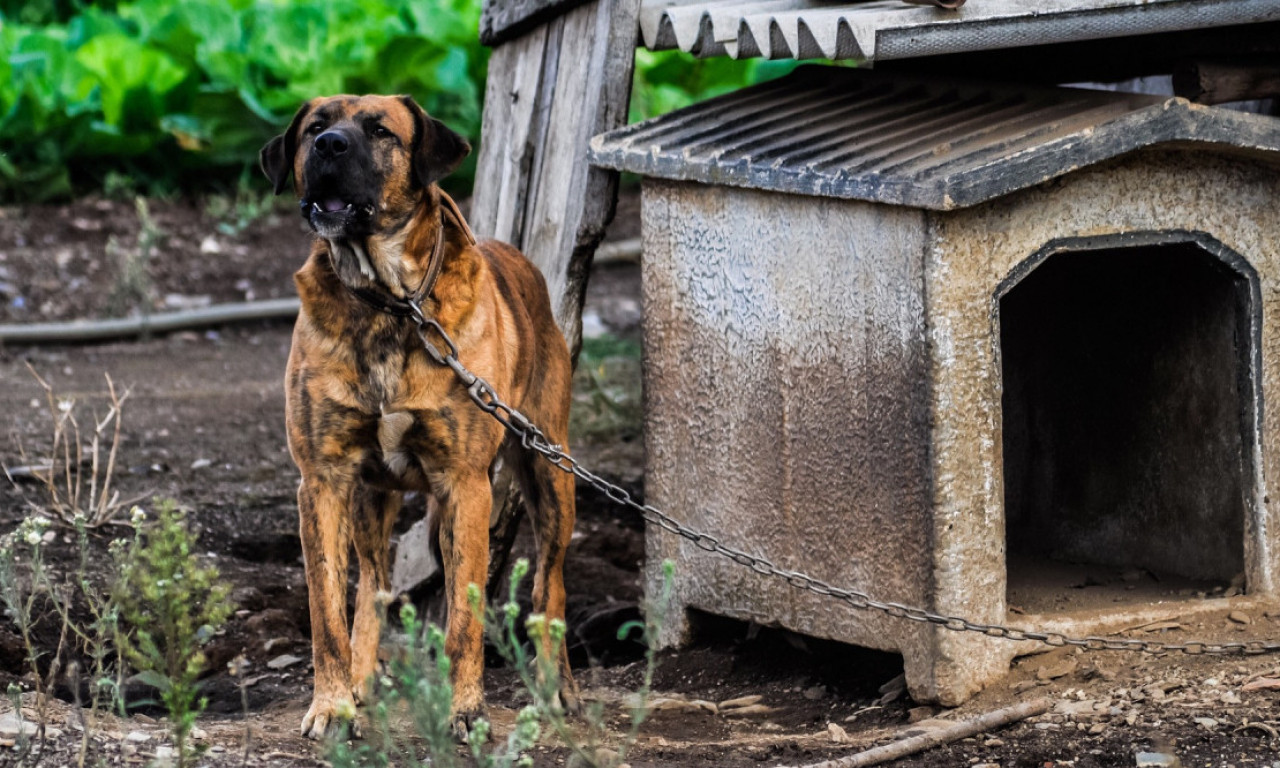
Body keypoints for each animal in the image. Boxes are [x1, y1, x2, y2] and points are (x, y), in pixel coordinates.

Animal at [259, 94, 581, 737]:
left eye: (381, 131)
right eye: (313, 128)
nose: (328, 145)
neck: (389, 303)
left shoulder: (466, 484)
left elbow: (465, 615)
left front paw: (467, 710)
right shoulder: (323, 481)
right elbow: (328, 609)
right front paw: (332, 704)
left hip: (549, 472)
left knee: (548, 585)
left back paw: (557, 687)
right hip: (371, 497)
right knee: (374, 585)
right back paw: (362, 681)